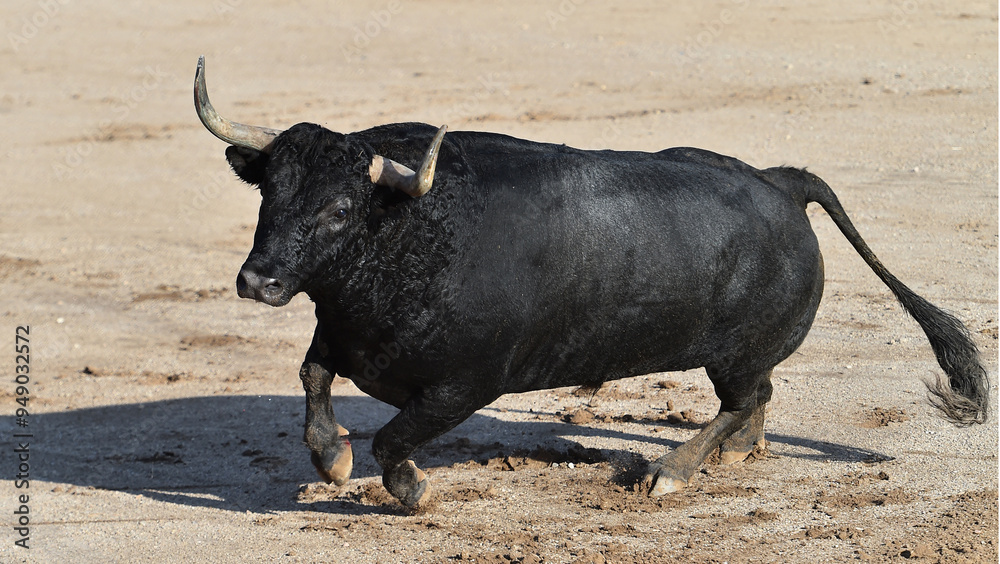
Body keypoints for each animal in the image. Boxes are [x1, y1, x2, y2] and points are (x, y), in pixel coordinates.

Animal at [193, 57, 984, 506]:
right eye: (269, 195)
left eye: (337, 210)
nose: (258, 280)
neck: (411, 231)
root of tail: (781, 182)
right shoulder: (342, 336)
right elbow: (312, 375)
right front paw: (330, 459)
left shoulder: (463, 385)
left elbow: (391, 442)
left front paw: (411, 488)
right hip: (744, 354)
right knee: (757, 397)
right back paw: (736, 451)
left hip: (731, 355)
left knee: (739, 399)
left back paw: (672, 471)